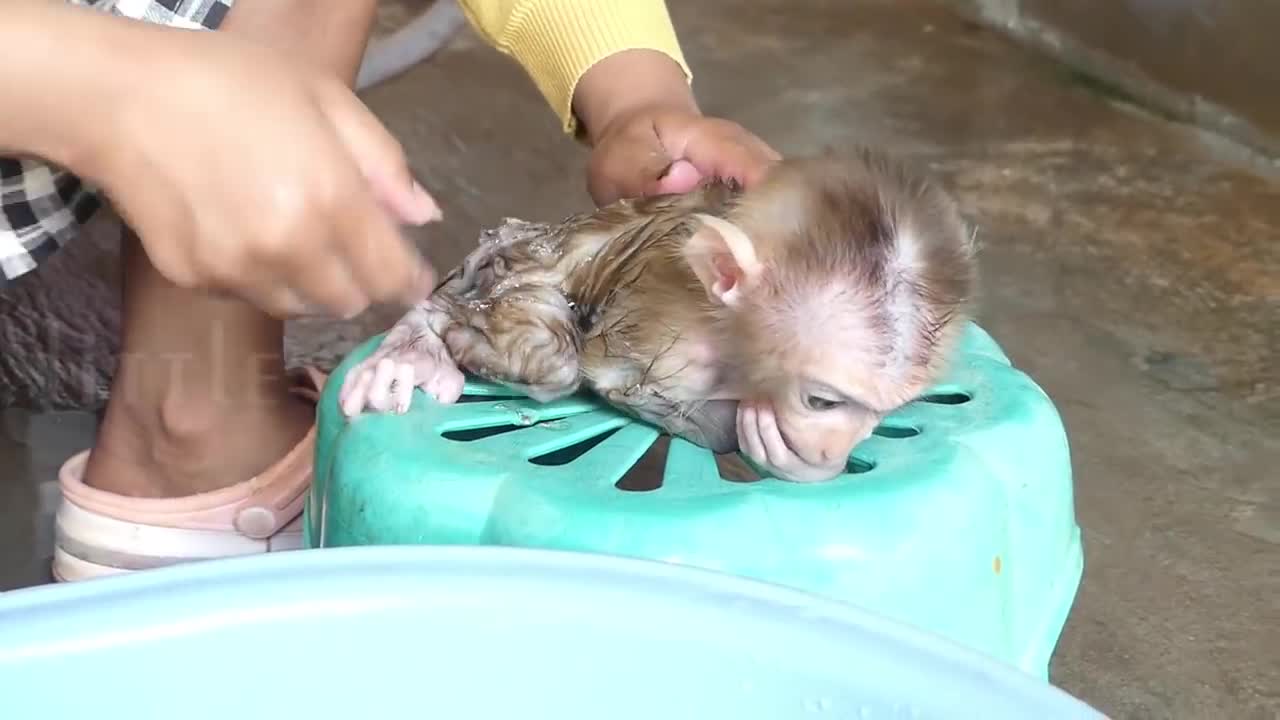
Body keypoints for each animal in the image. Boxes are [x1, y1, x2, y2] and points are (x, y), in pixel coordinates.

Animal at [335, 147, 972, 481]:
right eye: (822, 403)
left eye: (878, 413)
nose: (830, 448)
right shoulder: (672, 342)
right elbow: (628, 387)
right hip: (509, 264)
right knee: (549, 359)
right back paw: (424, 334)